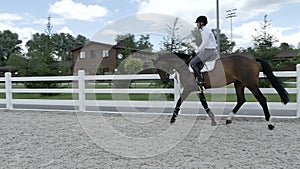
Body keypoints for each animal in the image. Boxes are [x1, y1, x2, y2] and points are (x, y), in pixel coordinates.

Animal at [154, 52, 290, 130]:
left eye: (159, 68)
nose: (164, 80)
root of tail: (252, 59)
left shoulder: (189, 88)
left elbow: (179, 102)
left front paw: (172, 119)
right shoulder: (197, 90)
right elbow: (204, 104)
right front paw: (213, 120)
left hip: (250, 84)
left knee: (262, 99)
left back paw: (270, 124)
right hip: (239, 84)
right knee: (241, 100)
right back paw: (228, 119)